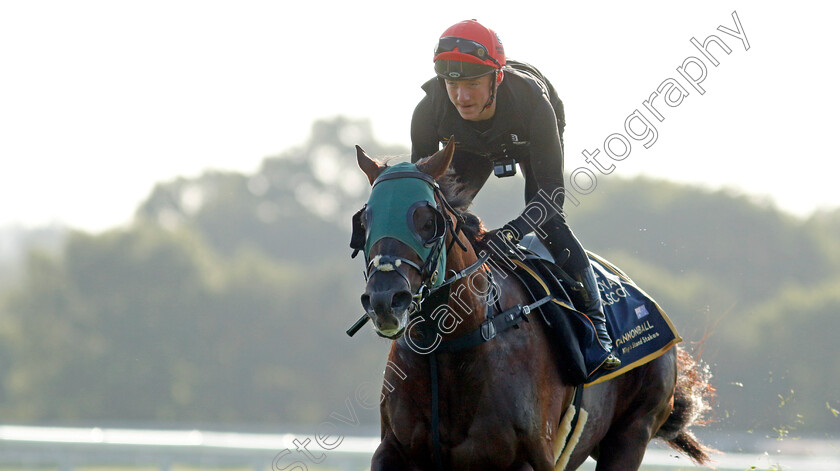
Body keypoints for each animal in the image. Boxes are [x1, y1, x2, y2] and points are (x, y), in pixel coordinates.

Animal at [352, 141, 712, 471]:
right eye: (364, 221)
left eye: (428, 221)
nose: (384, 299)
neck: (455, 345)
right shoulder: (394, 450)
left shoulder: (526, 458)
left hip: (633, 432)